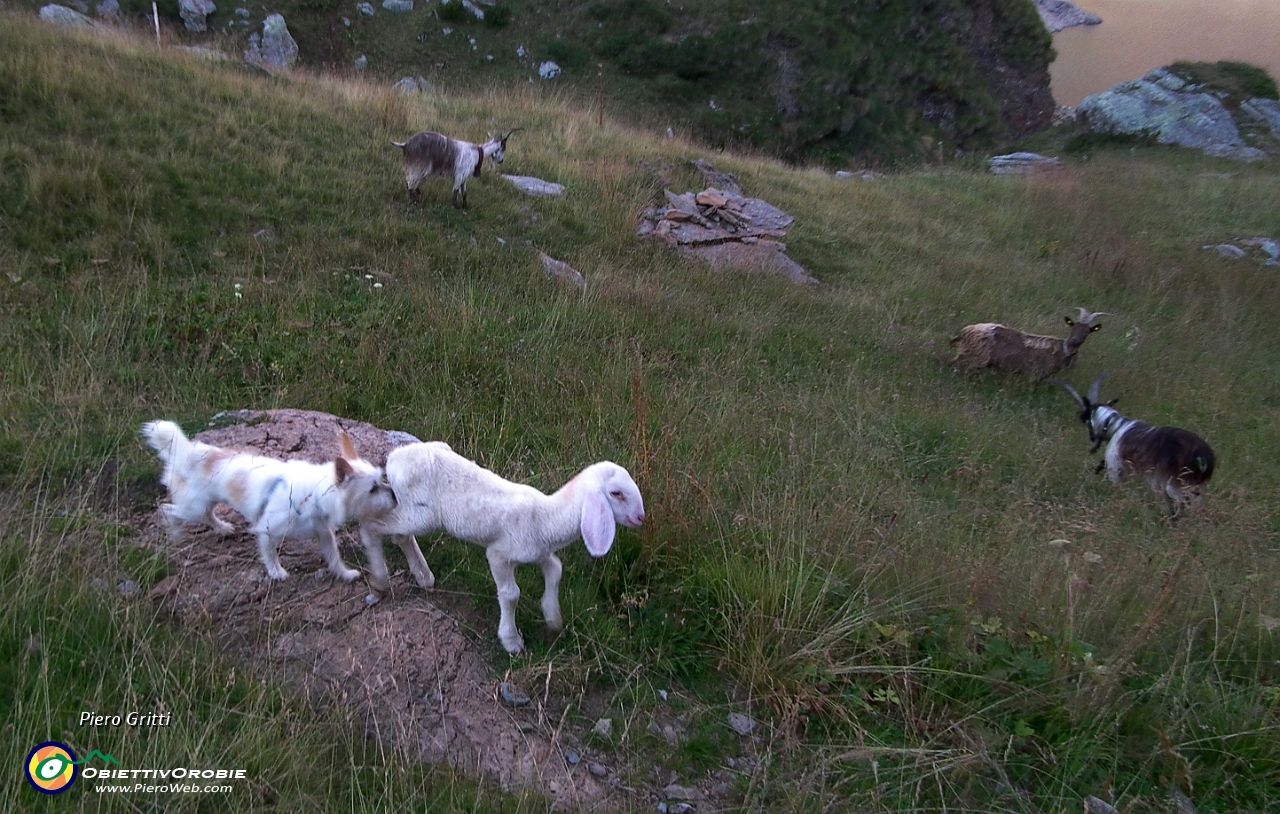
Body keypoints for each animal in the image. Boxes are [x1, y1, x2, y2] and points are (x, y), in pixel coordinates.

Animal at [142, 419, 396, 586]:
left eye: (382, 480)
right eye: (373, 489)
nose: (394, 495)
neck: (313, 495)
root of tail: (189, 454)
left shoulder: (323, 533)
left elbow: (333, 557)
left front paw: (344, 574)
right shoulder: (265, 530)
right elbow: (270, 553)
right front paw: (276, 572)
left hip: (204, 503)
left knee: (207, 513)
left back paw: (221, 527)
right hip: (192, 508)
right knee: (168, 510)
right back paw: (175, 534)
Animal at [358, 442, 640, 652]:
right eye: (616, 493)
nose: (640, 518)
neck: (545, 517)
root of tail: (393, 458)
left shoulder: (537, 551)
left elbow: (556, 569)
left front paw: (553, 618)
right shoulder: (499, 554)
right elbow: (511, 593)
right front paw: (512, 640)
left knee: (401, 536)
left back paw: (423, 576)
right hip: (421, 514)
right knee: (372, 526)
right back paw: (380, 579)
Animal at [394, 127, 524, 208]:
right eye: (503, 148)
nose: (501, 161)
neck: (476, 153)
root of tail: (405, 144)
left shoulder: (464, 177)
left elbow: (464, 192)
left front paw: (465, 206)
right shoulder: (459, 175)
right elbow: (456, 190)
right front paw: (455, 206)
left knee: (410, 182)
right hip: (417, 166)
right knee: (410, 183)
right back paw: (414, 202)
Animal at [952, 308, 1111, 378]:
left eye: (1088, 331)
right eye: (1073, 326)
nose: (1074, 341)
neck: (1061, 349)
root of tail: (966, 331)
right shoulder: (1035, 375)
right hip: (973, 358)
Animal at [1044, 371, 1213, 514]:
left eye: (1085, 419)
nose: (1091, 438)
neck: (1116, 425)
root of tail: (1202, 457)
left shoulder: (1115, 469)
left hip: (1175, 483)